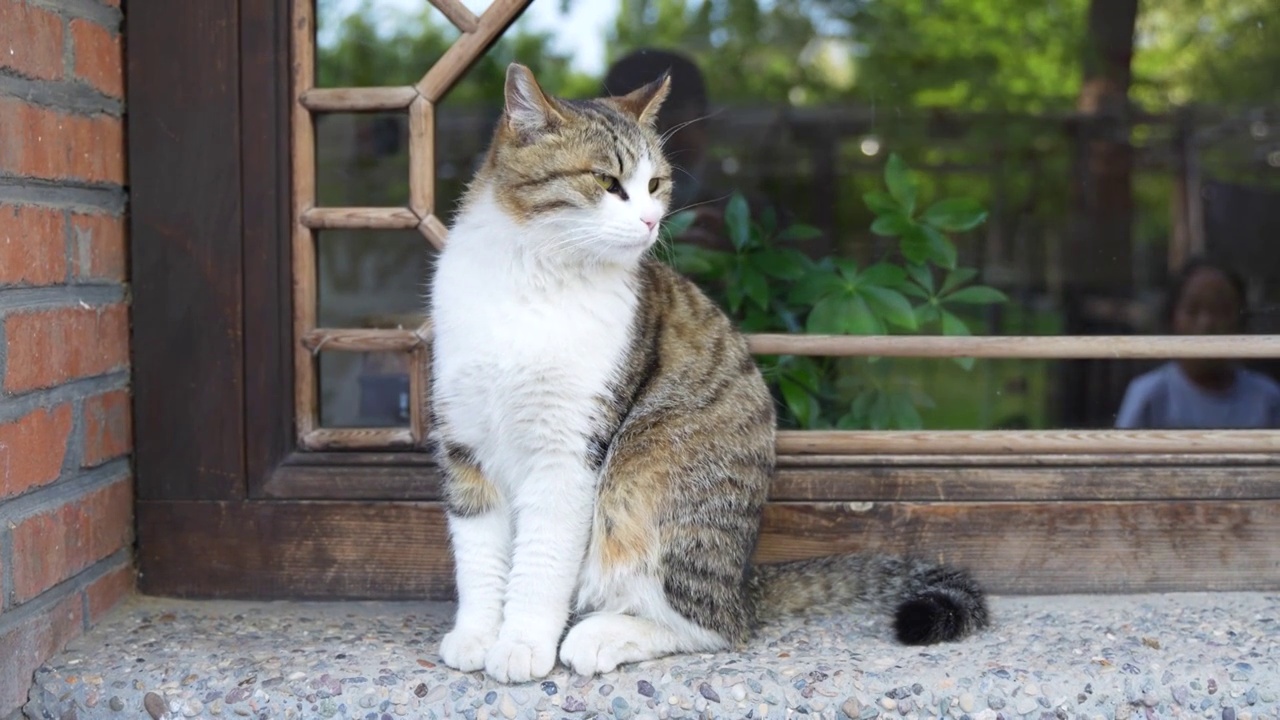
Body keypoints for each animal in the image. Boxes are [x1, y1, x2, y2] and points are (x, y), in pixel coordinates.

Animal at [430, 60, 988, 676]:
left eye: (654, 184)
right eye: (607, 182)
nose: (651, 220)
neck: (534, 280)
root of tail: (743, 584)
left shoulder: (567, 452)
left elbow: (541, 560)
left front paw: (523, 643)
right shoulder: (464, 441)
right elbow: (478, 554)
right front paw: (478, 634)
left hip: (641, 479)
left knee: (712, 625)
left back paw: (602, 636)